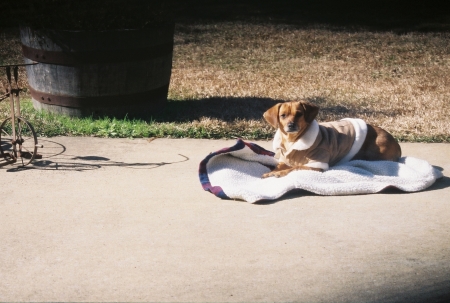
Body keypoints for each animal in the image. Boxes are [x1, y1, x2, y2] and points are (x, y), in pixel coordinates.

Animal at [262, 101, 402, 179]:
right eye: (283, 115)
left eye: (299, 114)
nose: (291, 125)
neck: (293, 142)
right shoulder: (283, 160)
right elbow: (279, 166)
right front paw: (272, 172)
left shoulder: (317, 164)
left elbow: (295, 168)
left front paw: (280, 173)